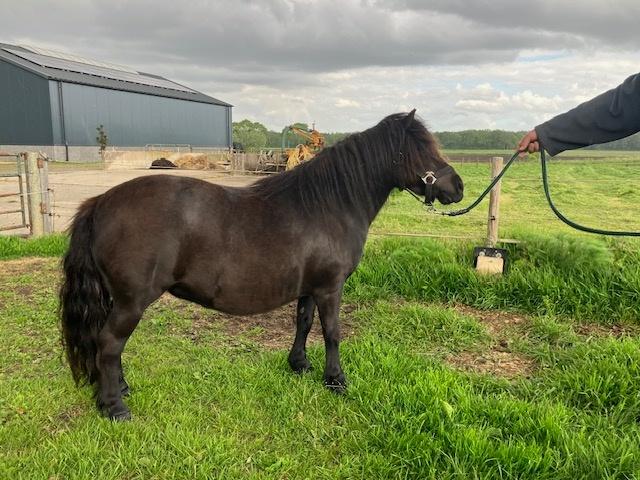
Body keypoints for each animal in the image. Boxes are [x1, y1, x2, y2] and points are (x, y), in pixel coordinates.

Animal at [59, 110, 464, 420]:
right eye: (422, 149)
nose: (457, 187)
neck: (328, 205)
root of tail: (100, 202)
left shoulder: (310, 287)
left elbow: (304, 323)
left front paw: (299, 365)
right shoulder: (331, 286)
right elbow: (332, 332)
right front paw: (336, 380)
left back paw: (119, 389)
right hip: (132, 301)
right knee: (109, 343)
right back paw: (114, 407)